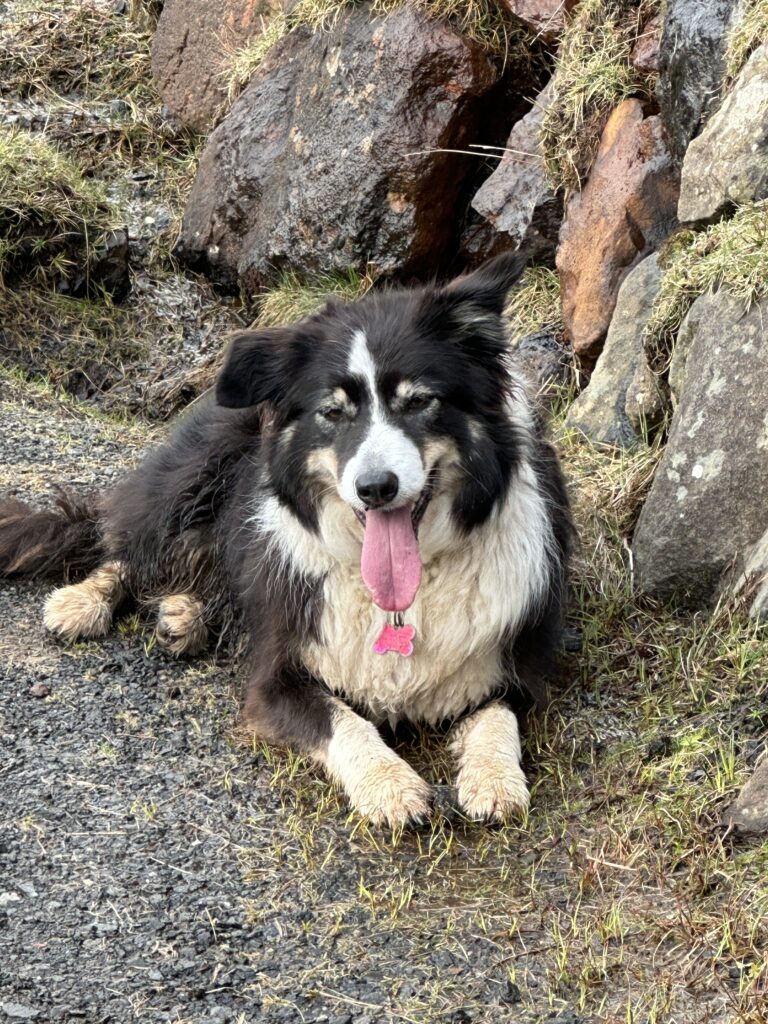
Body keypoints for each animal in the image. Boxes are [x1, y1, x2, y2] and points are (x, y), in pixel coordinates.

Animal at [0, 253, 573, 823]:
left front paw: (495, 779)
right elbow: (345, 722)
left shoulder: (515, 664)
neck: (402, 600)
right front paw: (391, 787)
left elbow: (498, 718)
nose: (375, 488)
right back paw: (84, 601)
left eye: (418, 403)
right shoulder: (278, 677)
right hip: (191, 478)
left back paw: (185, 613)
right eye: (332, 412)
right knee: (127, 544)